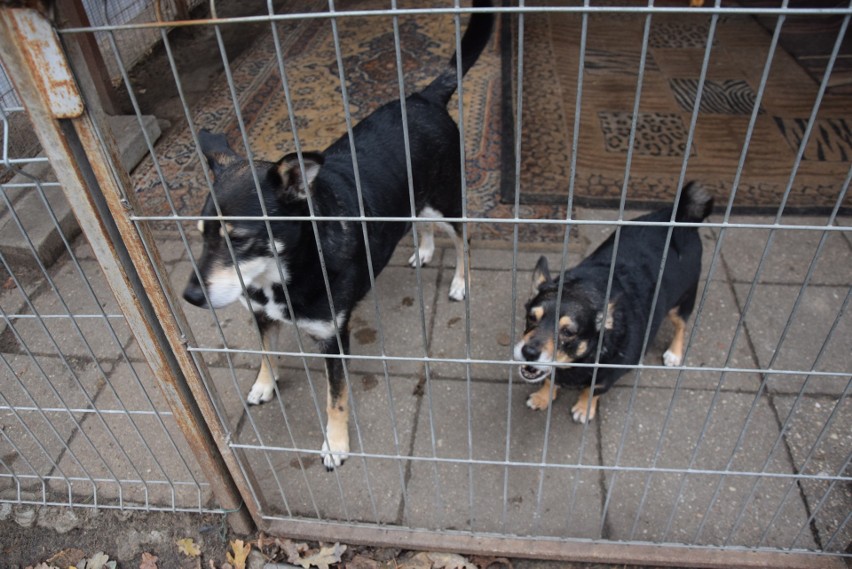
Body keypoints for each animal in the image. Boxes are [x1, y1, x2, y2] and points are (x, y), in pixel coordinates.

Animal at [183, 2, 496, 468]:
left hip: (448, 200)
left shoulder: (334, 338)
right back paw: (423, 250)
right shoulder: (260, 313)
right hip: (416, 198)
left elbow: (337, 398)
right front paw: (264, 383)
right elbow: (265, 350)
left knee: (463, 239)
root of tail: (423, 98)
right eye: (202, 235)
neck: (287, 269)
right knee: (420, 222)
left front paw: (335, 444)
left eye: (237, 239)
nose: (189, 297)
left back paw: (460, 281)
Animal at [512, 184, 712, 424]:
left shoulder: (607, 375)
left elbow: (592, 390)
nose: (529, 352)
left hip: (682, 301)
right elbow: (549, 379)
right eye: (531, 317)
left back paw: (674, 353)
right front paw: (543, 397)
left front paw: (584, 408)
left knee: (681, 325)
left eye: (568, 332)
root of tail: (682, 215)